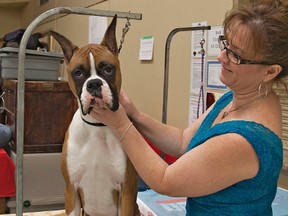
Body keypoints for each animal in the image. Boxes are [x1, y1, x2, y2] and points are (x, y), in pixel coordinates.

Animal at [50, 14, 140, 215]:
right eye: (78, 73)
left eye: (108, 69)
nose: (93, 84)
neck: (97, 126)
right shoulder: (71, 191)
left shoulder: (127, 191)